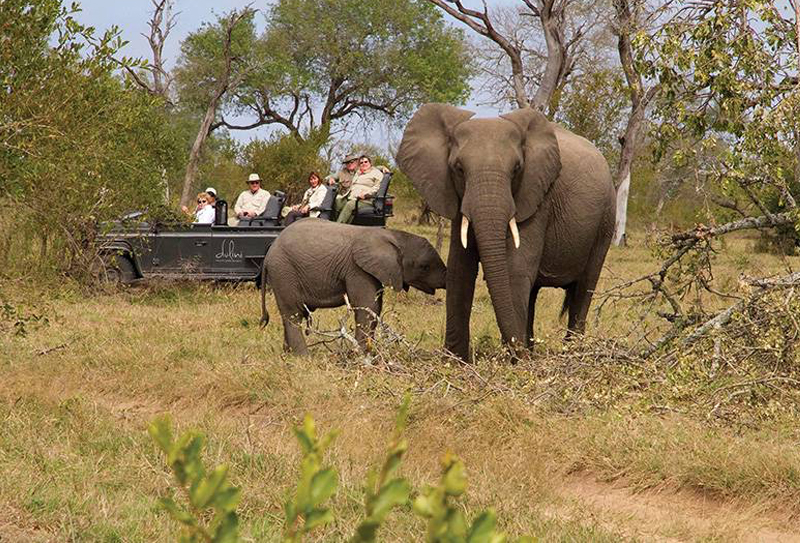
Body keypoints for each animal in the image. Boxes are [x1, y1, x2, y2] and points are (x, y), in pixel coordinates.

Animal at [260, 218, 446, 354]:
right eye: (424, 266)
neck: (393, 235)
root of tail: (269, 253)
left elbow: (375, 308)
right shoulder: (357, 269)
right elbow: (367, 307)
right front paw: (360, 355)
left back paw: (287, 355)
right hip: (284, 271)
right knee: (293, 315)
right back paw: (303, 357)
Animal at [396, 104, 616, 361]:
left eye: (517, 169)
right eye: (458, 169)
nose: (517, 354)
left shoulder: (537, 197)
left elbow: (514, 270)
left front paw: (513, 360)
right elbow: (460, 269)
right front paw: (455, 360)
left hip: (606, 220)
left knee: (584, 287)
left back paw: (569, 352)